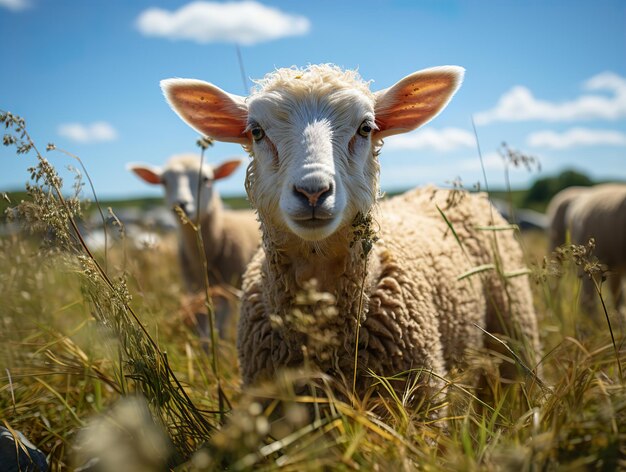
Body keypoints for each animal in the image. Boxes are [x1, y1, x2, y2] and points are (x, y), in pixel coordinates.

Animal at [129, 157, 258, 338]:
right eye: (163, 181)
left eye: (206, 179)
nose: (181, 204)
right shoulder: (197, 290)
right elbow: (203, 323)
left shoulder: (229, 289)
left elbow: (221, 326)